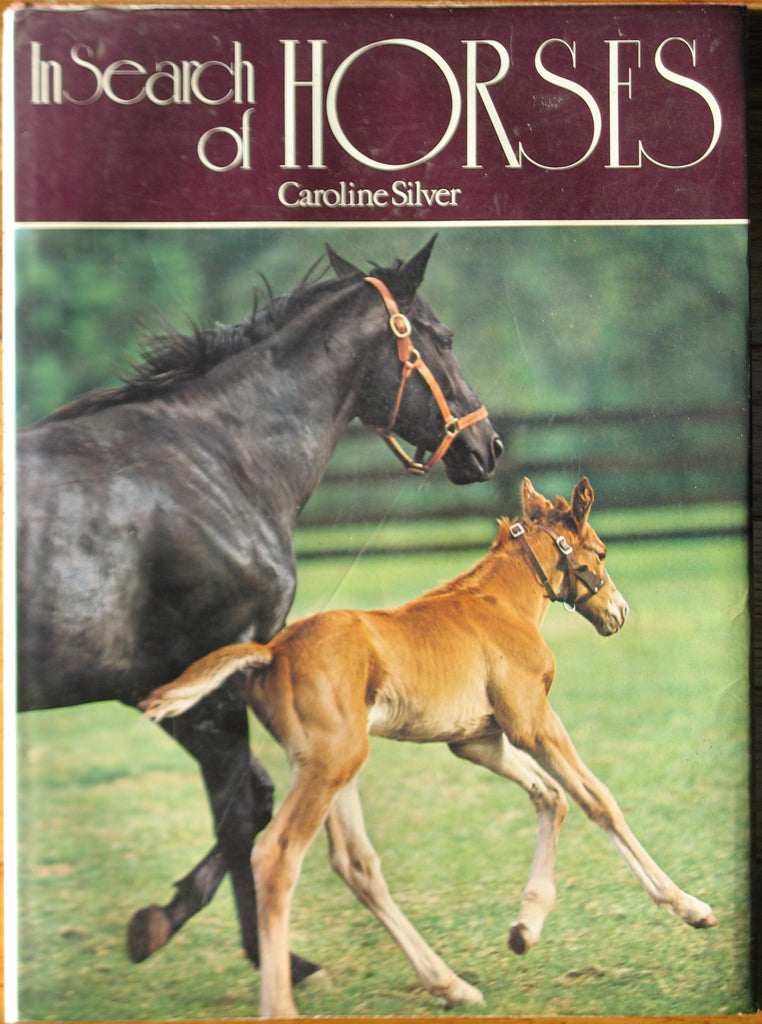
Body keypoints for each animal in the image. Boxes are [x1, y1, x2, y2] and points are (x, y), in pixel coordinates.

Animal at [16, 235, 503, 982]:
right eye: (443, 337)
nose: (487, 446)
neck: (218, 463)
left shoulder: (169, 689)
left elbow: (256, 798)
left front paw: (158, 923)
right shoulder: (213, 686)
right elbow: (243, 813)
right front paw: (270, 955)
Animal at [143, 476, 717, 1017]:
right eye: (600, 552)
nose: (619, 611)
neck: (499, 605)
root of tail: (271, 651)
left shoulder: (476, 739)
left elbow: (550, 797)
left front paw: (525, 928)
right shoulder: (531, 721)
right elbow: (597, 799)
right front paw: (689, 906)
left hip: (330, 765)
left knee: (356, 865)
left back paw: (451, 984)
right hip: (330, 765)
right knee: (277, 854)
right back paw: (283, 1004)